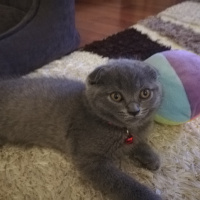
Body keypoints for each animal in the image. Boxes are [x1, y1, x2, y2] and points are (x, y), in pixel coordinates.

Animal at [0, 59, 162, 200]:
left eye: (145, 93)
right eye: (116, 96)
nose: (134, 111)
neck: (123, 129)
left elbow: (138, 142)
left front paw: (151, 157)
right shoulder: (90, 160)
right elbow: (123, 183)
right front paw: (149, 196)